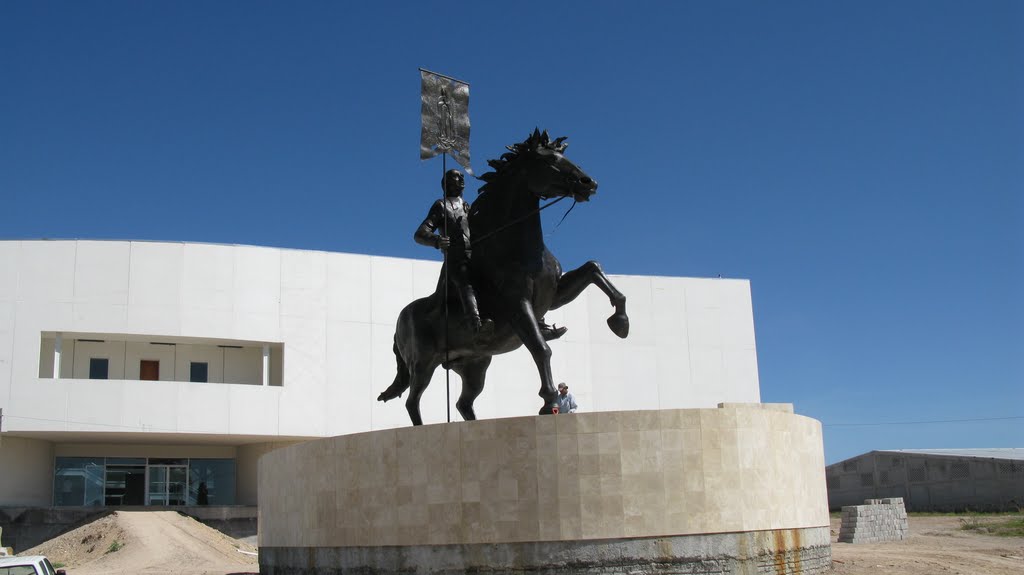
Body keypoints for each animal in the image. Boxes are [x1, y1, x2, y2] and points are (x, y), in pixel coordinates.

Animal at [380, 130, 626, 425]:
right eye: (550, 160)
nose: (589, 183)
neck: (516, 245)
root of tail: (400, 320)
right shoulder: (518, 305)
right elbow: (541, 348)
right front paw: (549, 403)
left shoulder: (552, 295)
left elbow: (593, 268)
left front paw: (620, 322)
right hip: (423, 364)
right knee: (412, 400)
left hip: (475, 365)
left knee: (463, 403)